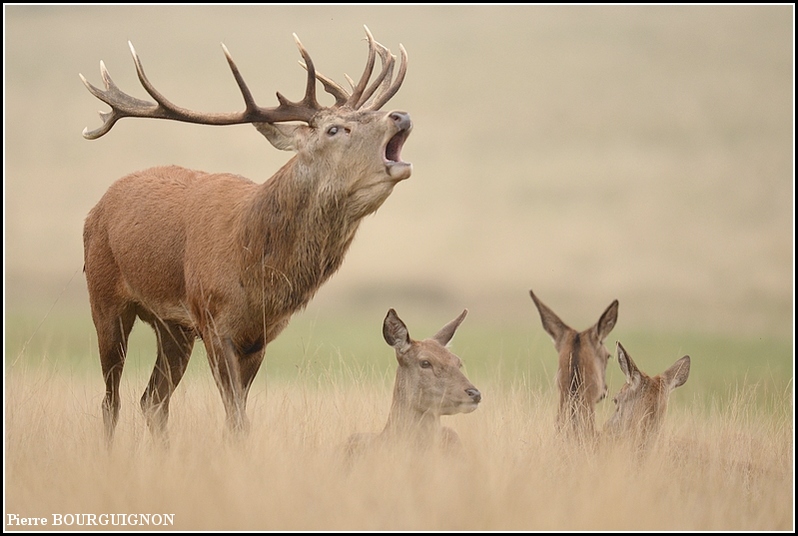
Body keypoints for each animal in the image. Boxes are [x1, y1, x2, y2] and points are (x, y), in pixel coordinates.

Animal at [81, 27, 416, 442]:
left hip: (172, 326)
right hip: (104, 297)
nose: (400, 115)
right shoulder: (213, 321)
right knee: (111, 400)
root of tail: (97, 208)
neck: (255, 270)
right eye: (334, 129)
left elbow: (236, 416)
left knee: (153, 400)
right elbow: (237, 417)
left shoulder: (258, 337)